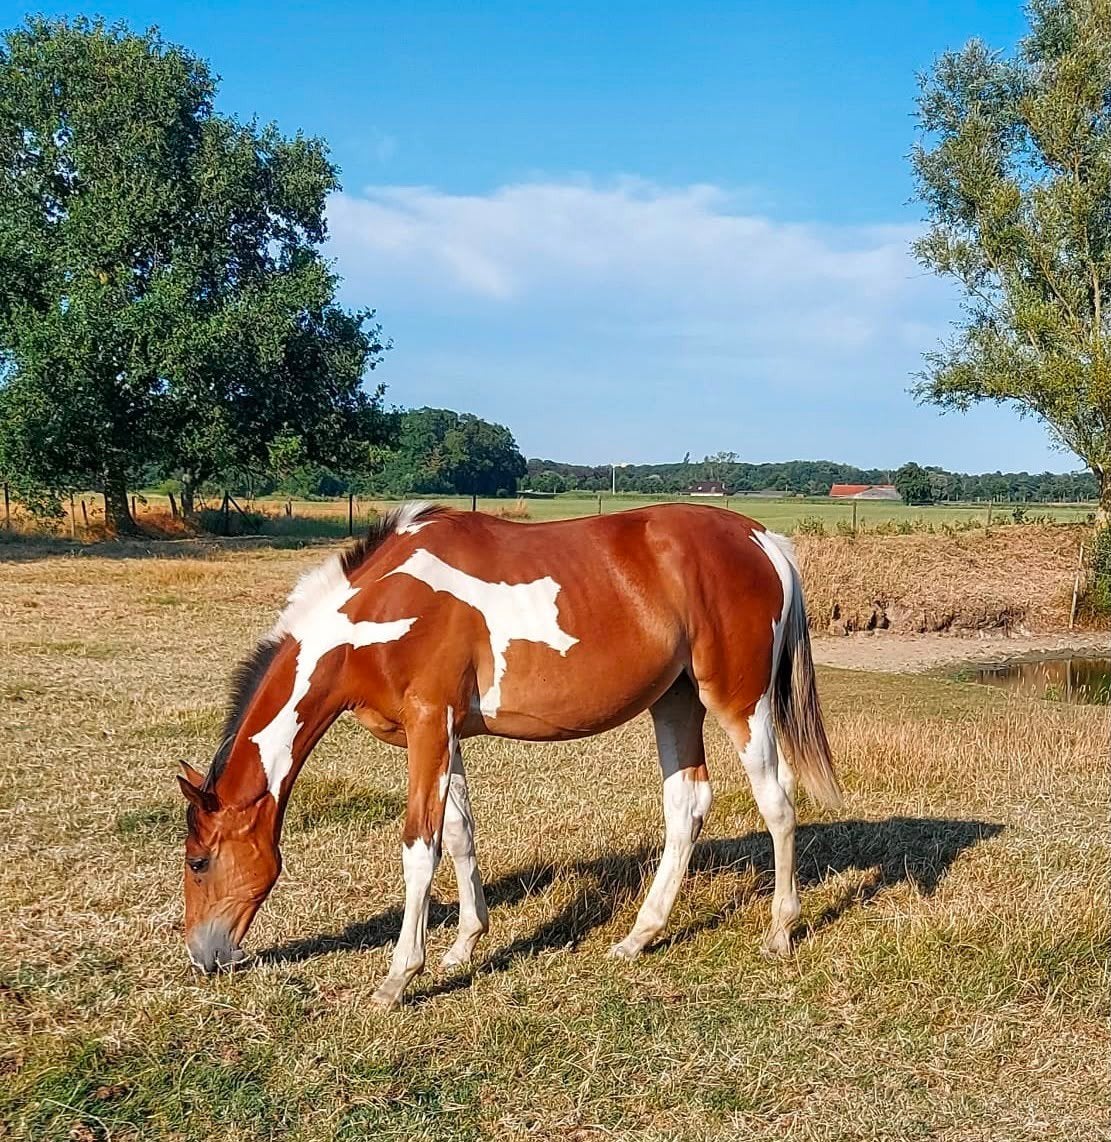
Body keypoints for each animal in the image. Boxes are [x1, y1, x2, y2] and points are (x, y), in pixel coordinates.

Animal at [179, 501, 841, 1009]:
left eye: (199, 862)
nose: (203, 957)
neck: (379, 610)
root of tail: (764, 540)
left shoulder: (429, 725)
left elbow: (419, 847)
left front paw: (398, 978)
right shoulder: (444, 736)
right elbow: (459, 834)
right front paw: (464, 944)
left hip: (739, 703)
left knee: (777, 804)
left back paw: (781, 931)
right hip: (675, 702)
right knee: (687, 806)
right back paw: (638, 936)